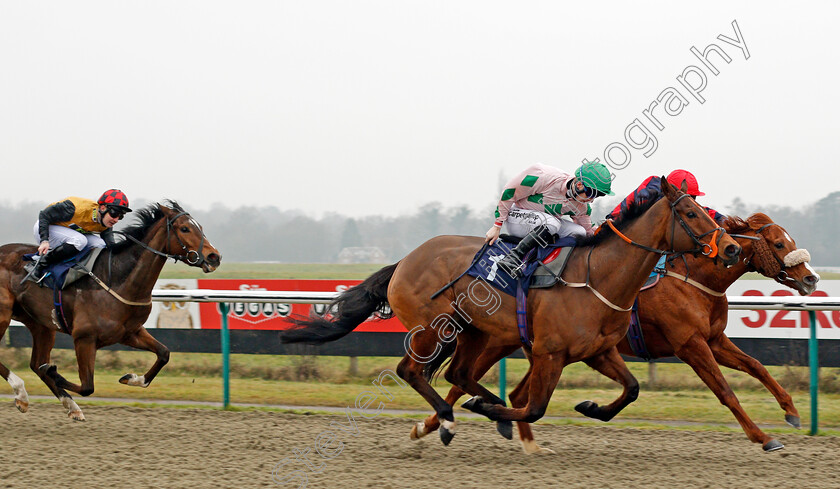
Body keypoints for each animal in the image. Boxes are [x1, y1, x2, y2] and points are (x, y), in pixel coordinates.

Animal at [0, 201, 220, 420]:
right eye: (184, 228)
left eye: (199, 226)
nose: (214, 257)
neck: (117, 279)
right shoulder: (84, 338)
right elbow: (87, 386)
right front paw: (53, 372)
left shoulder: (129, 333)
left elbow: (164, 353)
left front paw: (131, 378)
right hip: (4, 316)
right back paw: (22, 393)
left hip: (40, 324)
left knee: (36, 363)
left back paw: (68, 406)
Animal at [284, 179, 740, 442]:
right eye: (690, 212)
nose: (732, 247)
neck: (599, 276)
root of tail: (404, 260)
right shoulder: (549, 352)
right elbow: (535, 407)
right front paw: (496, 414)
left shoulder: (597, 351)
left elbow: (631, 389)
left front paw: (590, 408)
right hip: (434, 328)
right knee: (412, 372)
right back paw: (448, 418)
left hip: (476, 331)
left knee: (458, 374)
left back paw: (480, 409)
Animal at [414, 212, 820, 452]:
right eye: (779, 243)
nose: (811, 279)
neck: (693, 278)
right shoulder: (690, 344)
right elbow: (725, 391)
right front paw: (763, 437)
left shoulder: (714, 339)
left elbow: (756, 366)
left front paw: (791, 411)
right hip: (501, 341)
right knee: (460, 381)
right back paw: (432, 426)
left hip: (535, 348)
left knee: (508, 392)